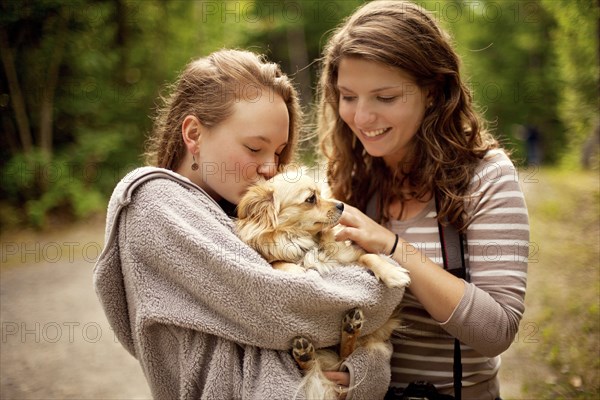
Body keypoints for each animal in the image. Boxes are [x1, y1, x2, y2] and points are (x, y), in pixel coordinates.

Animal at [237, 167, 410, 398]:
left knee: (346, 356)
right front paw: (295, 270)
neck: (306, 243)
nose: (341, 205)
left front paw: (391, 272)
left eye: (322, 193)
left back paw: (350, 326)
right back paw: (306, 353)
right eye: (311, 199)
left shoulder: (349, 258)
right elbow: (278, 263)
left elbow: (368, 256)